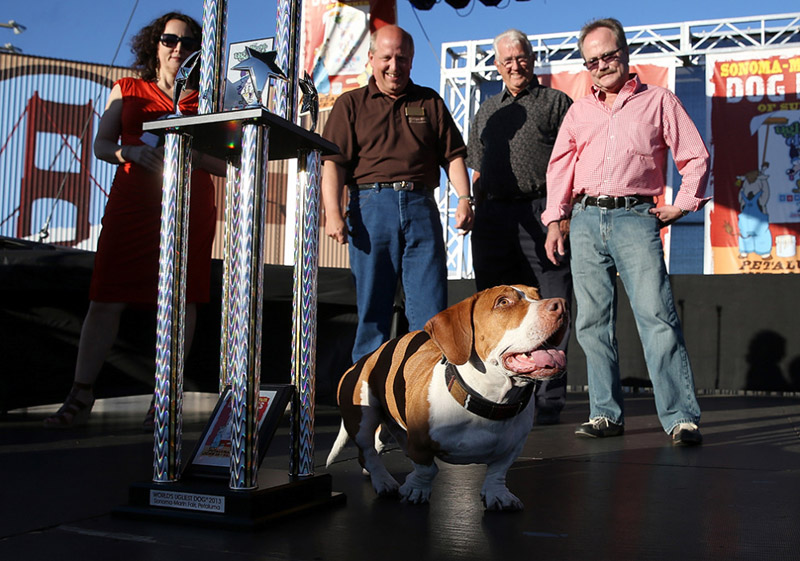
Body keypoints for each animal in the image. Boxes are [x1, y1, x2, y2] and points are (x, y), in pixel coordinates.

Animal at [326, 286, 568, 510]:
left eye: (538, 294)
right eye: (503, 302)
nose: (562, 304)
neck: (489, 400)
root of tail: (370, 356)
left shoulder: (512, 448)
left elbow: (498, 472)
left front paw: (497, 494)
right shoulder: (420, 443)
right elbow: (427, 469)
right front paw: (416, 489)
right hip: (363, 415)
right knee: (366, 451)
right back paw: (383, 481)